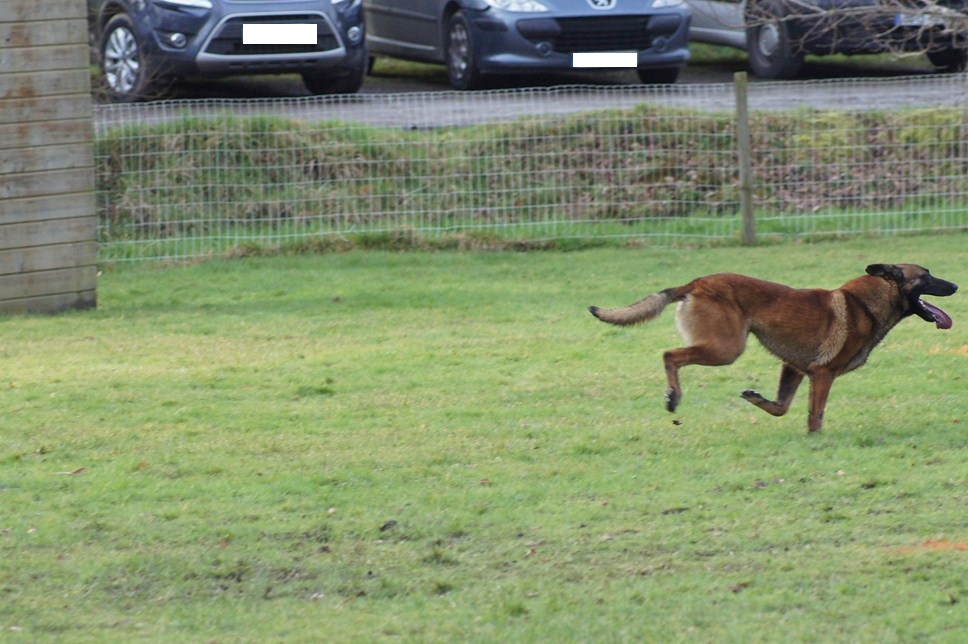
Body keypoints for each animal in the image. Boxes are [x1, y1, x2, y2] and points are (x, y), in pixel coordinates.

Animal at [588, 262, 956, 432]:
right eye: (926, 276)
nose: (954, 285)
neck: (865, 304)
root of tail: (695, 283)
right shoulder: (823, 374)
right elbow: (815, 416)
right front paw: (815, 441)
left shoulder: (796, 369)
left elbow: (781, 407)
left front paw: (756, 398)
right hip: (726, 349)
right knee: (670, 355)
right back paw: (672, 397)